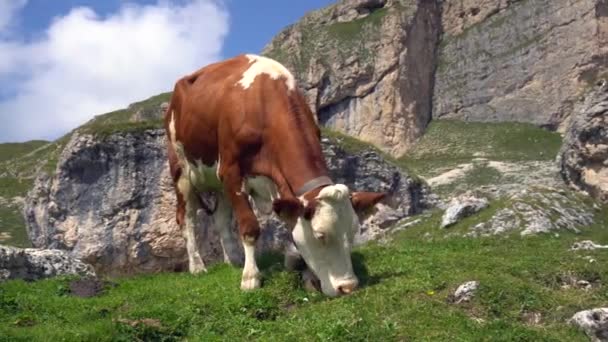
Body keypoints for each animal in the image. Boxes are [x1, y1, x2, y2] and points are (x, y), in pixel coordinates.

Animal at [164, 53, 388, 296]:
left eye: (353, 232)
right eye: (320, 235)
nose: (348, 287)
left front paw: (304, 272)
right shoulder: (231, 170)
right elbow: (250, 227)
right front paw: (251, 278)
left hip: (218, 181)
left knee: (221, 219)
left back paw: (233, 260)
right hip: (182, 172)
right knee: (187, 219)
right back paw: (197, 266)